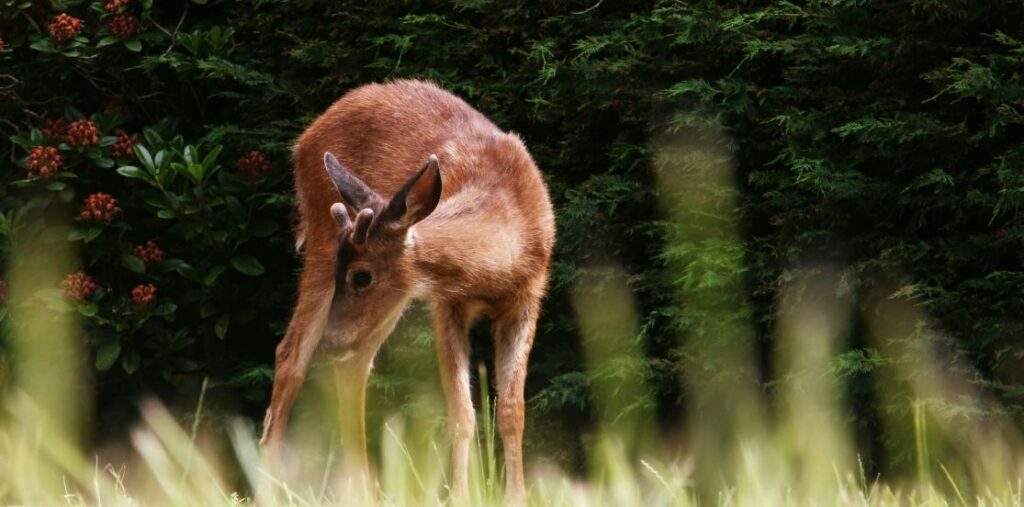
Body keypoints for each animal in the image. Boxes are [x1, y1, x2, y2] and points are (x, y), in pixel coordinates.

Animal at [260, 80, 557, 503]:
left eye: (361, 276)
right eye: (347, 274)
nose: (331, 340)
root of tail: (303, 140)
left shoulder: (528, 300)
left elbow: (513, 410)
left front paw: (516, 496)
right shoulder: (446, 305)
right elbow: (462, 412)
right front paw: (459, 495)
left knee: (352, 366)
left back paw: (363, 489)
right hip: (321, 237)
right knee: (291, 355)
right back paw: (270, 484)